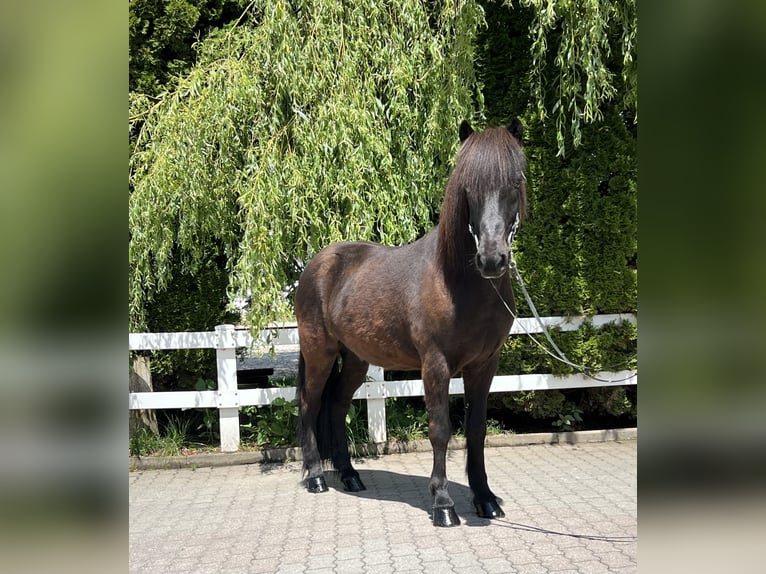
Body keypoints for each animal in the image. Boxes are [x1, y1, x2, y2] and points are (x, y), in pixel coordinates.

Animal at [294, 120, 528, 528]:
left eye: (514, 183)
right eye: (468, 187)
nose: (492, 259)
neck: (458, 283)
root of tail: (317, 264)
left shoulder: (485, 365)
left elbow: (477, 430)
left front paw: (485, 499)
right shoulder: (435, 365)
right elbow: (440, 430)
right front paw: (443, 505)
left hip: (355, 360)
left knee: (336, 405)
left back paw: (350, 475)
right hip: (319, 354)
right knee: (310, 404)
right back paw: (317, 478)